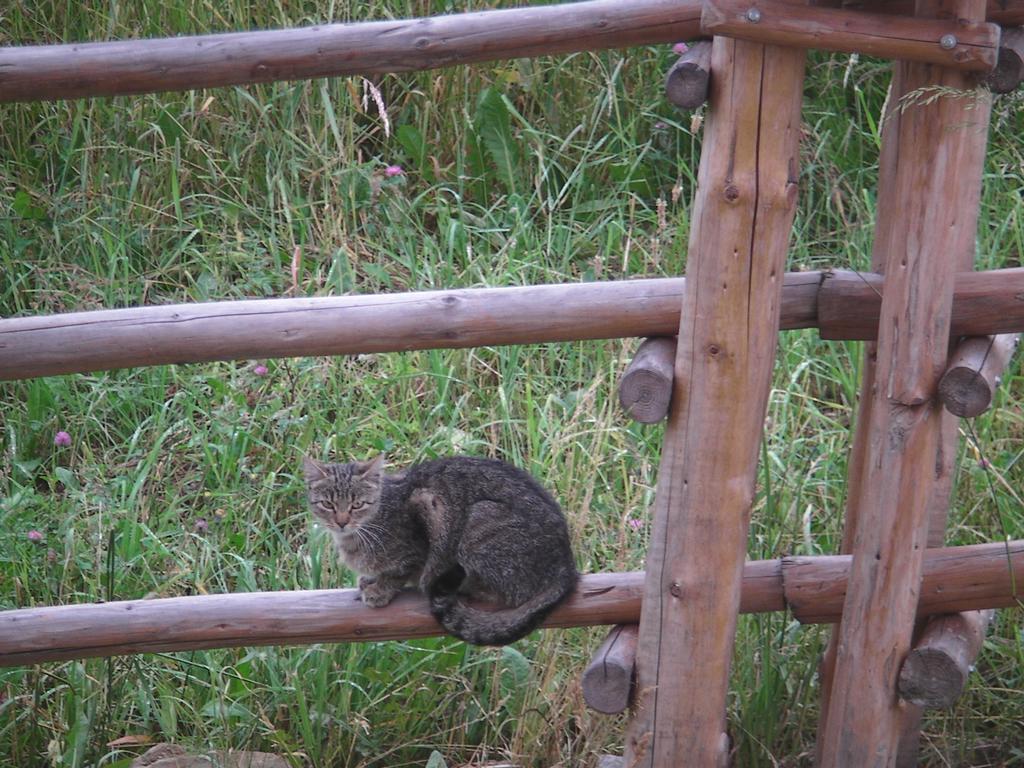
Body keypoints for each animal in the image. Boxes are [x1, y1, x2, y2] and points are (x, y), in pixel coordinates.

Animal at [301, 454, 577, 647]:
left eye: (357, 505)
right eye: (328, 504)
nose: (342, 521)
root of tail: (567, 566)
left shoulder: (427, 509)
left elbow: (400, 571)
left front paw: (381, 590)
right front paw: (370, 580)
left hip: (479, 522)